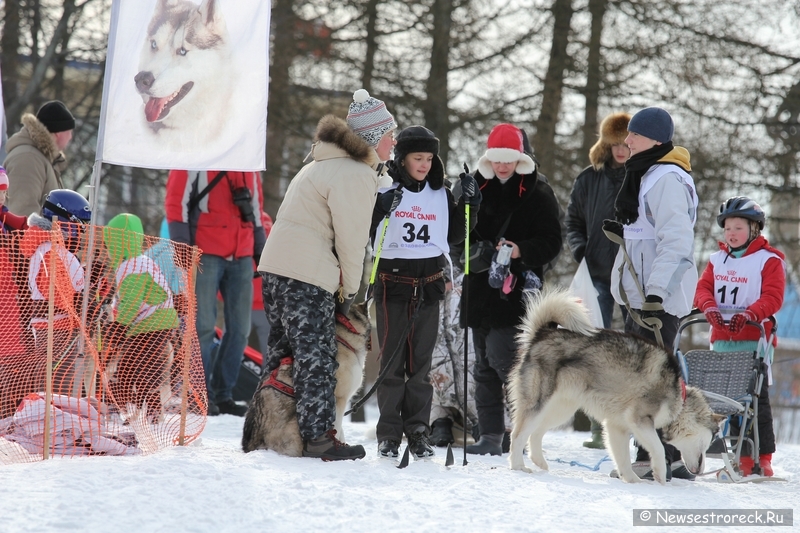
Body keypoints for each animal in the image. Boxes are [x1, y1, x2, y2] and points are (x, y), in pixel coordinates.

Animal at [510, 288, 720, 484]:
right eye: (711, 440)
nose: (701, 471)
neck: (679, 396)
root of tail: (543, 333)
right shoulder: (640, 420)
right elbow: (658, 449)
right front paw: (659, 476)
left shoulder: (616, 426)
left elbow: (623, 459)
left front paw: (633, 481)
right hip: (539, 404)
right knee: (517, 434)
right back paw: (518, 466)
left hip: (561, 409)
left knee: (535, 433)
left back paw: (539, 462)